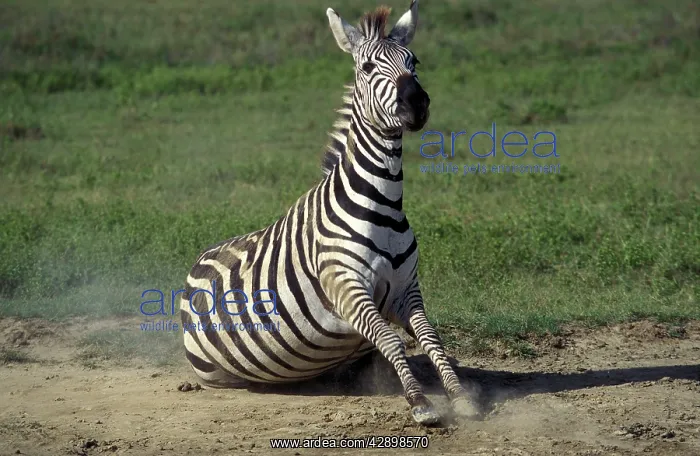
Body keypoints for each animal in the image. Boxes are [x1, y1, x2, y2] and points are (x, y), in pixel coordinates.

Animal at [180, 0, 479, 425]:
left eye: (415, 61)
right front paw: (420, 402)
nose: (417, 103)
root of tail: (199, 260)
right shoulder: (346, 287)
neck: (383, 205)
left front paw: (461, 395)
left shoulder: (407, 289)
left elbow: (430, 337)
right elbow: (391, 339)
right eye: (367, 67)